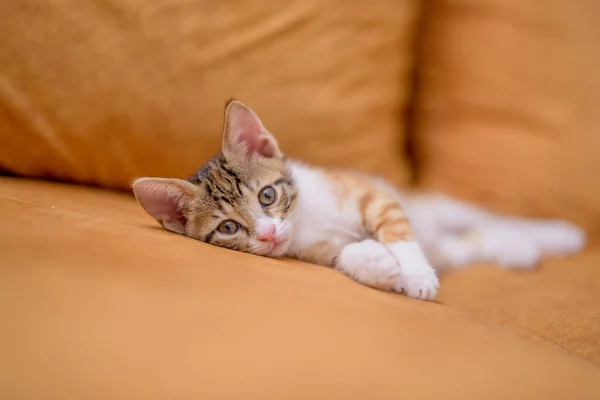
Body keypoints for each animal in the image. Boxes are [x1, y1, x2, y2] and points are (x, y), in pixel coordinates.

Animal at [131, 99, 584, 300]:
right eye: (229, 227)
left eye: (267, 195)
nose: (268, 234)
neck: (307, 219)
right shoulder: (318, 250)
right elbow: (347, 255)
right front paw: (382, 268)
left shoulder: (373, 193)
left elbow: (397, 230)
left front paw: (415, 273)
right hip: (455, 245)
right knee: (476, 242)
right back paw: (517, 251)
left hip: (442, 207)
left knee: (489, 219)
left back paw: (558, 235)